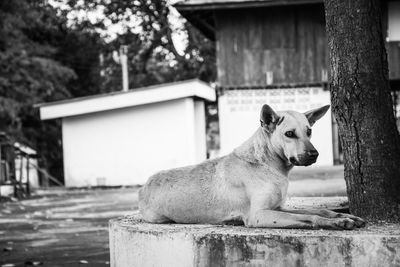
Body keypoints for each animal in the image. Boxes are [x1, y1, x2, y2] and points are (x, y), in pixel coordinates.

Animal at [139, 104, 368, 230]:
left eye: (309, 131)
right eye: (289, 134)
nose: (314, 154)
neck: (267, 164)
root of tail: (144, 186)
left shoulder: (277, 207)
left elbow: (320, 209)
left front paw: (344, 216)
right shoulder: (259, 214)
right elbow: (307, 217)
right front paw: (337, 223)